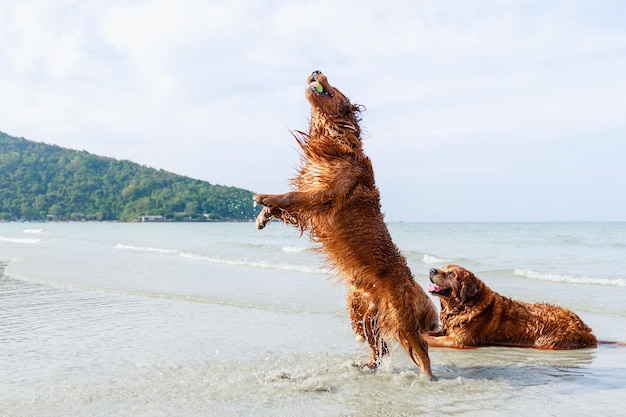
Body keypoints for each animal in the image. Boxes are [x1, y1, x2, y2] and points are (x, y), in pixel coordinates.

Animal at [251, 71, 436, 376]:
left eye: (335, 87)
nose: (316, 70)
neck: (334, 141)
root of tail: (415, 286)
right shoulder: (312, 198)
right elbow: (288, 207)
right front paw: (264, 216)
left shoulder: (324, 194)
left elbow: (292, 196)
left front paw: (265, 197)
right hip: (359, 311)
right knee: (380, 348)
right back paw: (368, 366)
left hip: (399, 319)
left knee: (420, 349)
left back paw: (427, 377)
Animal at [424, 264, 596, 348]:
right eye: (443, 268)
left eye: (451, 273)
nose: (431, 270)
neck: (464, 305)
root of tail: (586, 330)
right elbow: (428, 332)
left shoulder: (457, 340)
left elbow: (427, 337)